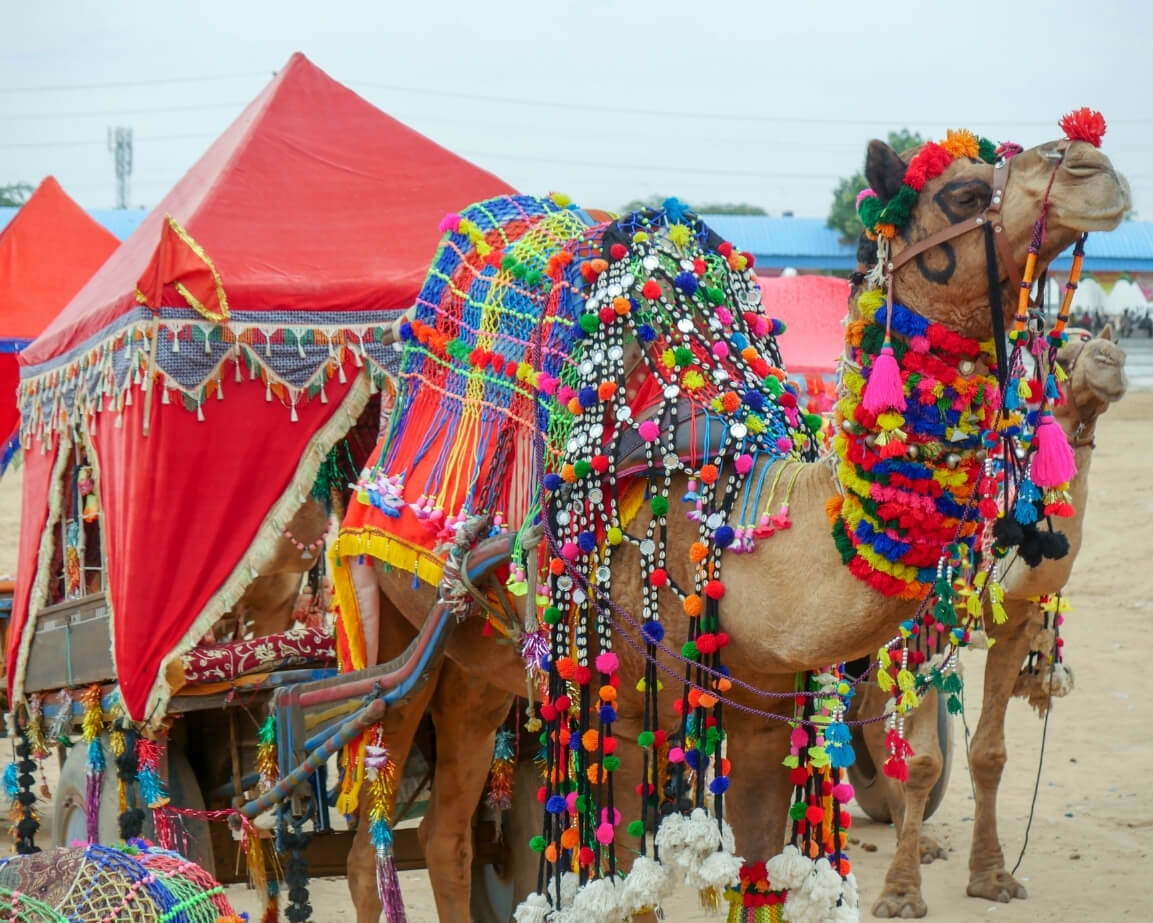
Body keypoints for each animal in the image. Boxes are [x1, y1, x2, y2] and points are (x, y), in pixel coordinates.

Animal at [854, 325, 1128, 918]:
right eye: (1062, 353)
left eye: (1102, 345)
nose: (1112, 359)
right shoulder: (932, 628)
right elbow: (926, 761)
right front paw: (900, 895)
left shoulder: (1015, 628)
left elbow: (989, 754)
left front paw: (993, 877)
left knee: (871, 713)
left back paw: (917, 837)